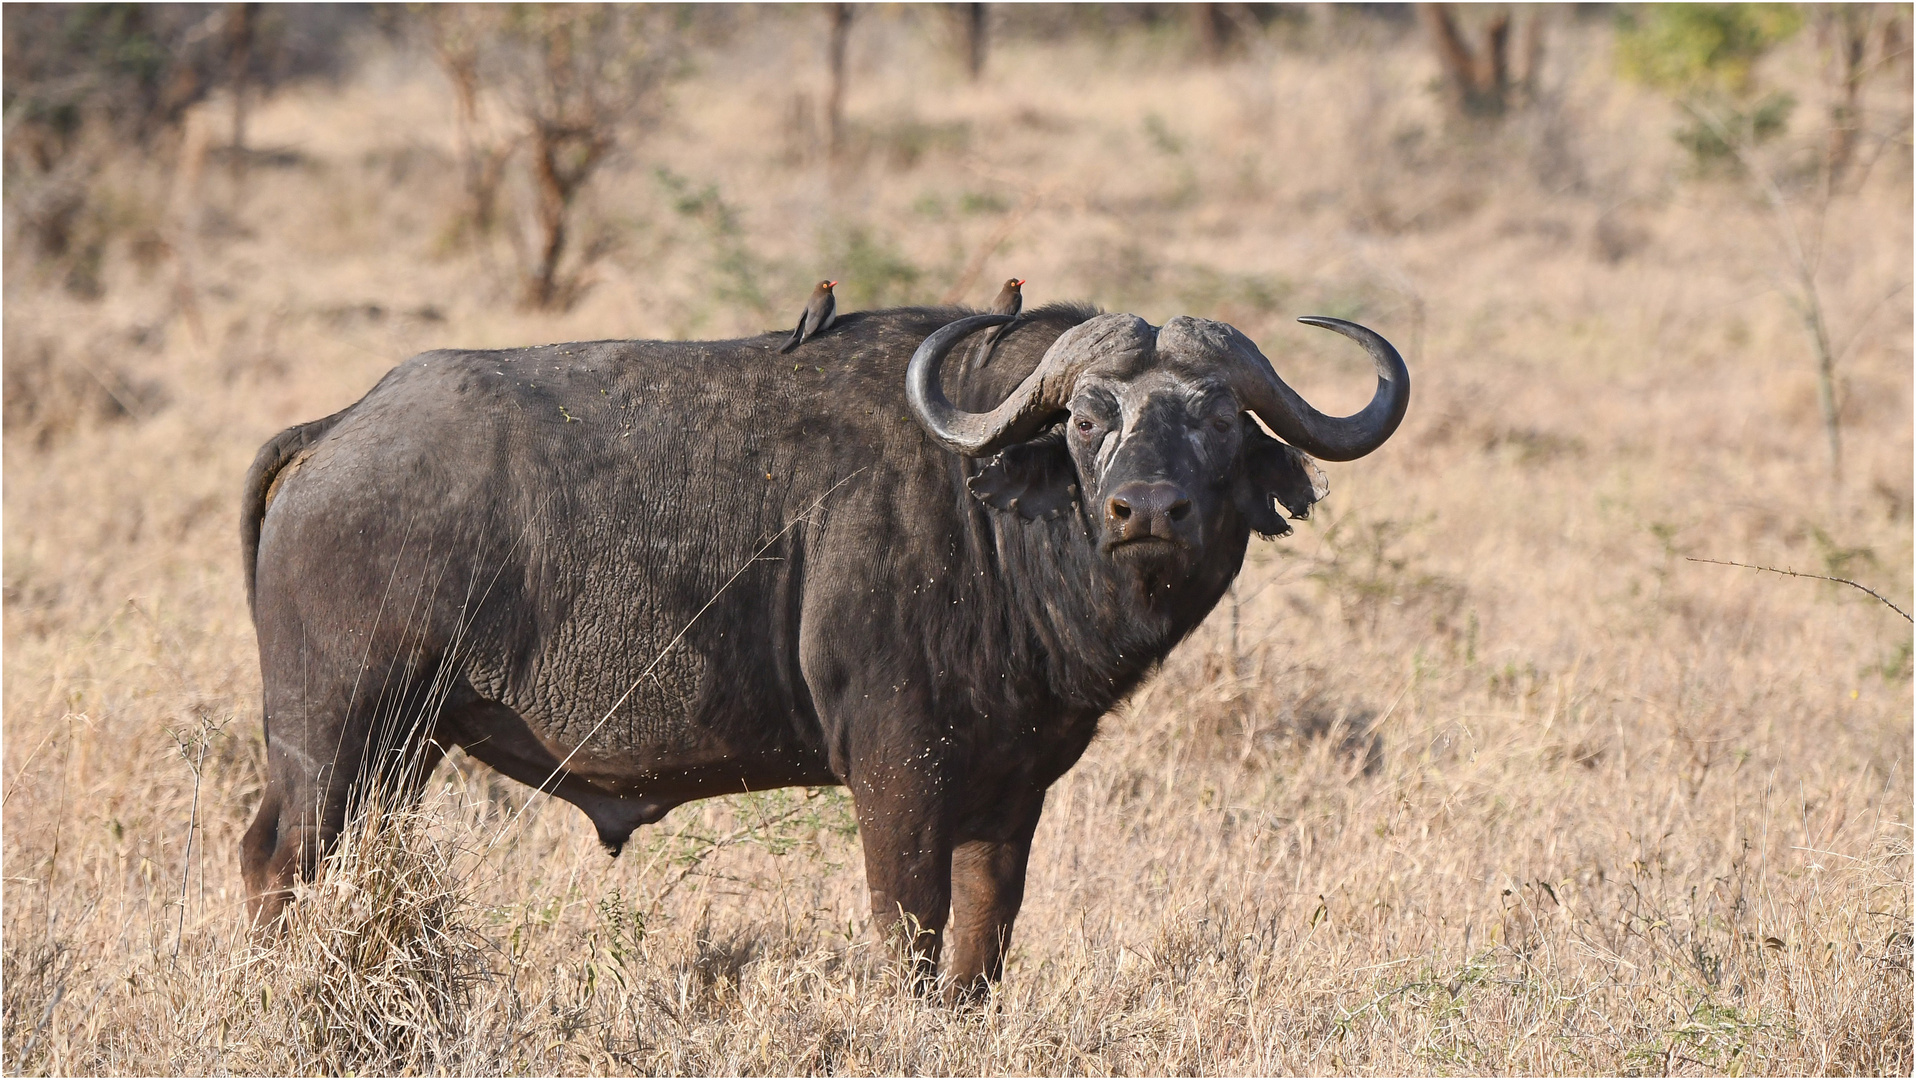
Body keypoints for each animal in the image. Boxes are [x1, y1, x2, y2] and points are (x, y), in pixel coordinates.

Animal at [239, 298, 1410, 1003]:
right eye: (1087, 418)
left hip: (399, 754)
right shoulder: (897, 777)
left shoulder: (1010, 795)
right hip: (336, 741)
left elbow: (981, 943)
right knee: (278, 864)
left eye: (1216, 418)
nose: (1148, 509)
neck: (991, 513)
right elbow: (910, 931)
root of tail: (342, 427)